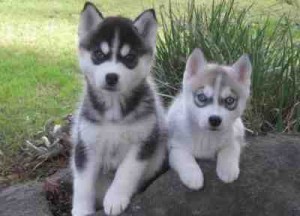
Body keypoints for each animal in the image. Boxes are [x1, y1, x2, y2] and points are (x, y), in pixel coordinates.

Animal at [72, 2, 168, 216]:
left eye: (130, 58)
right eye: (99, 54)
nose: (111, 77)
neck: (114, 112)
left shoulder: (143, 141)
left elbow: (126, 171)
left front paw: (115, 198)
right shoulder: (86, 144)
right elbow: (83, 183)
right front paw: (82, 209)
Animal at [168, 48, 252, 189]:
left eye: (229, 100)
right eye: (201, 97)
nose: (215, 120)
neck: (206, 135)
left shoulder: (234, 136)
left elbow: (230, 149)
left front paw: (228, 169)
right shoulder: (176, 147)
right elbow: (185, 158)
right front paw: (193, 176)